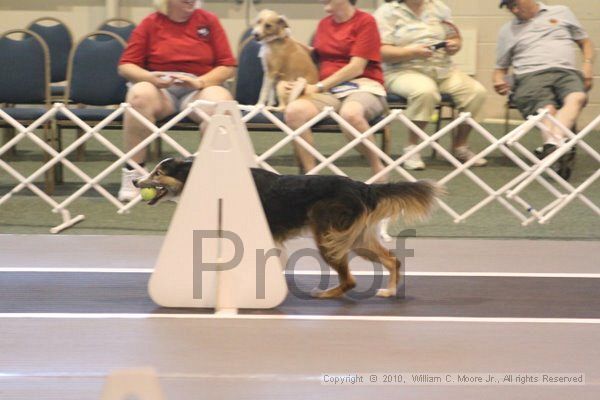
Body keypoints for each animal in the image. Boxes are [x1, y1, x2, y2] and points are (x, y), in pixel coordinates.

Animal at [132, 158, 440, 298]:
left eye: (158, 173)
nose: (135, 182)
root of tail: (361, 186)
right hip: (356, 238)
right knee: (392, 260)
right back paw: (389, 291)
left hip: (329, 236)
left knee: (350, 279)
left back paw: (327, 294)